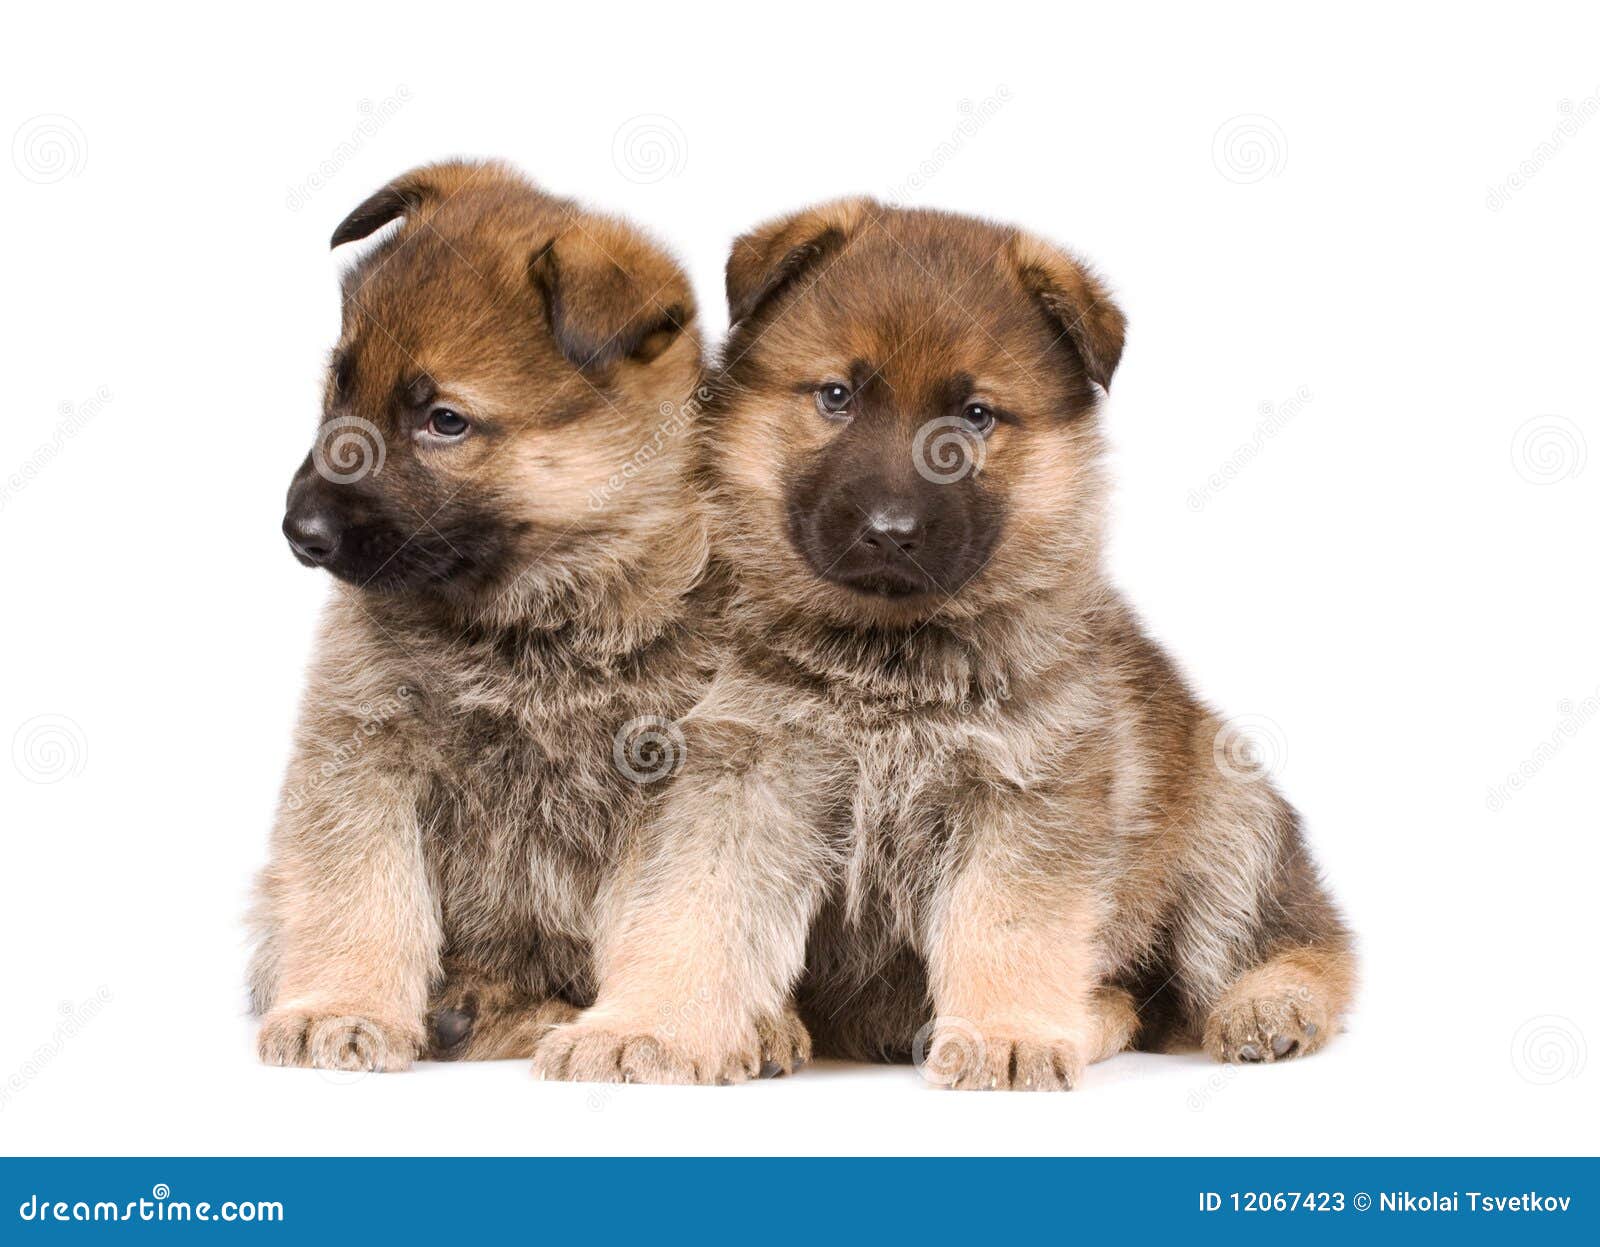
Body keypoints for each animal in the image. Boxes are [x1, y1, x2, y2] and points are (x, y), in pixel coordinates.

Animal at [249, 158, 793, 1075]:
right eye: (340, 381)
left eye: (445, 420)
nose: (299, 529)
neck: (532, 619)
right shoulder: (363, 745)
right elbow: (358, 890)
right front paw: (342, 1005)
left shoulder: (686, 780)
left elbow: (680, 915)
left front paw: (647, 1028)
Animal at [534, 197, 1350, 1094]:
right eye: (836, 396)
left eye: (976, 416)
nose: (891, 531)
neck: (888, 658)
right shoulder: (738, 781)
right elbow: (691, 914)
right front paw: (645, 1027)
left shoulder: (1025, 796)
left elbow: (1008, 925)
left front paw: (1007, 1035)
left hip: (1229, 829)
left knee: (1293, 945)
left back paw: (1265, 1006)